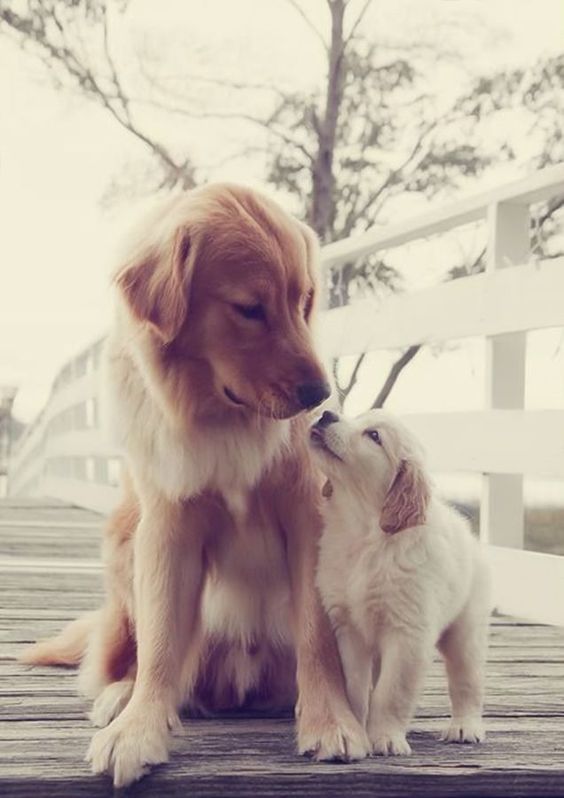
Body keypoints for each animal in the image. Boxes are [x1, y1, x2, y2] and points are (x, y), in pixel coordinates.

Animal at [22, 183, 368, 788]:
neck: (221, 420)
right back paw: (123, 696)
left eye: (304, 300)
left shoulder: (309, 518)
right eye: (249, 308)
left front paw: (331, 720)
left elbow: (316, 632)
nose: (320, 396)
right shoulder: (168, 527)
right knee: (131, 658)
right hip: (123, 542)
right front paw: (138, 727)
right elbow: (162, 639)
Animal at [310, 412, 492, 756]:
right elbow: (355, 687)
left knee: (467, 681)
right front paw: (357, 730)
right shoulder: (350, 629)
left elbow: (391, 693)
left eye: (374, 436)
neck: (365, 535)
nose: (327, 414)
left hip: (465, 630)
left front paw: (386, 738)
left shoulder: (408, 634)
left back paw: (465, 726)